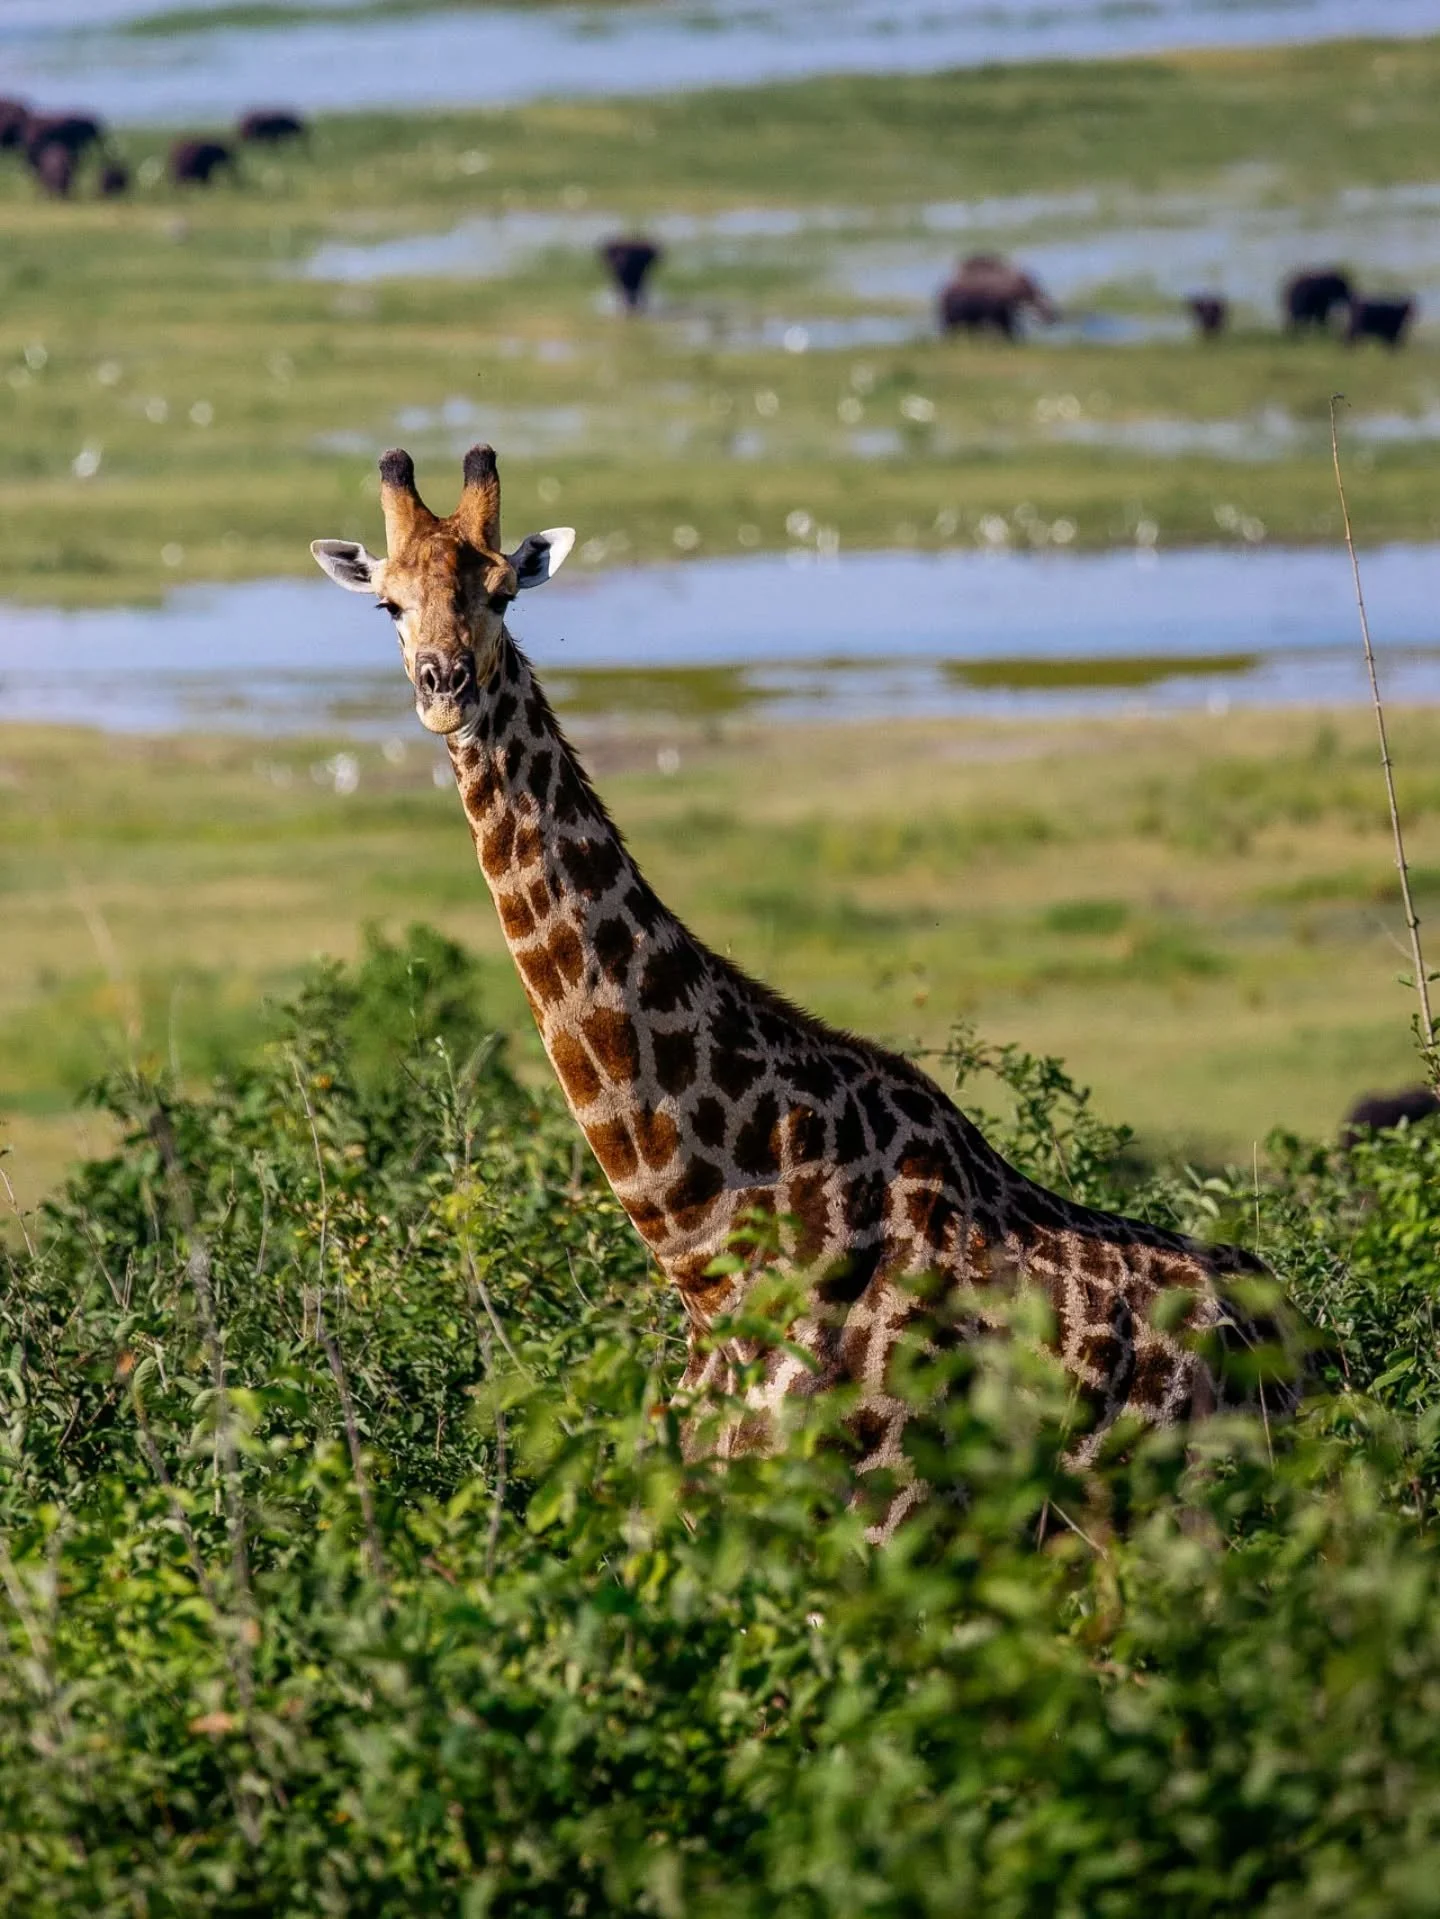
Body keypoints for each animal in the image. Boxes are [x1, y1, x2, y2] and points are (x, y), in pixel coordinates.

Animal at [312, 445, 1299, 1532]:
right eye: (390, 604)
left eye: (499, 591)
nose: (443, 686)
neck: (709, 1245)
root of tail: (1313, 1346)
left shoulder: (885, 1519)